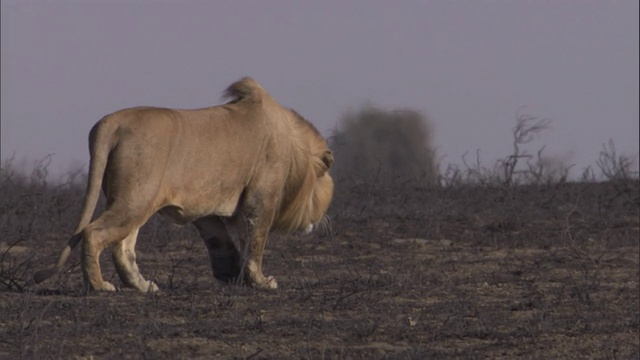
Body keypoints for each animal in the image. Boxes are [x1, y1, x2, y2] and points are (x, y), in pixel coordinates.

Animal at [33, 76, 336, 292]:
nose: (322, 219)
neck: (296, 147)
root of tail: (112, 122)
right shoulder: (260, 198)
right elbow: (255, 241)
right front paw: (262, 281)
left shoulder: (205, 209)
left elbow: (221, 242)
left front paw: (231, 276)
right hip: (136, 198)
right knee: (94, 233)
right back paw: (99, 286)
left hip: (137, 199)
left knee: (123, 247)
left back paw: (143, 286)